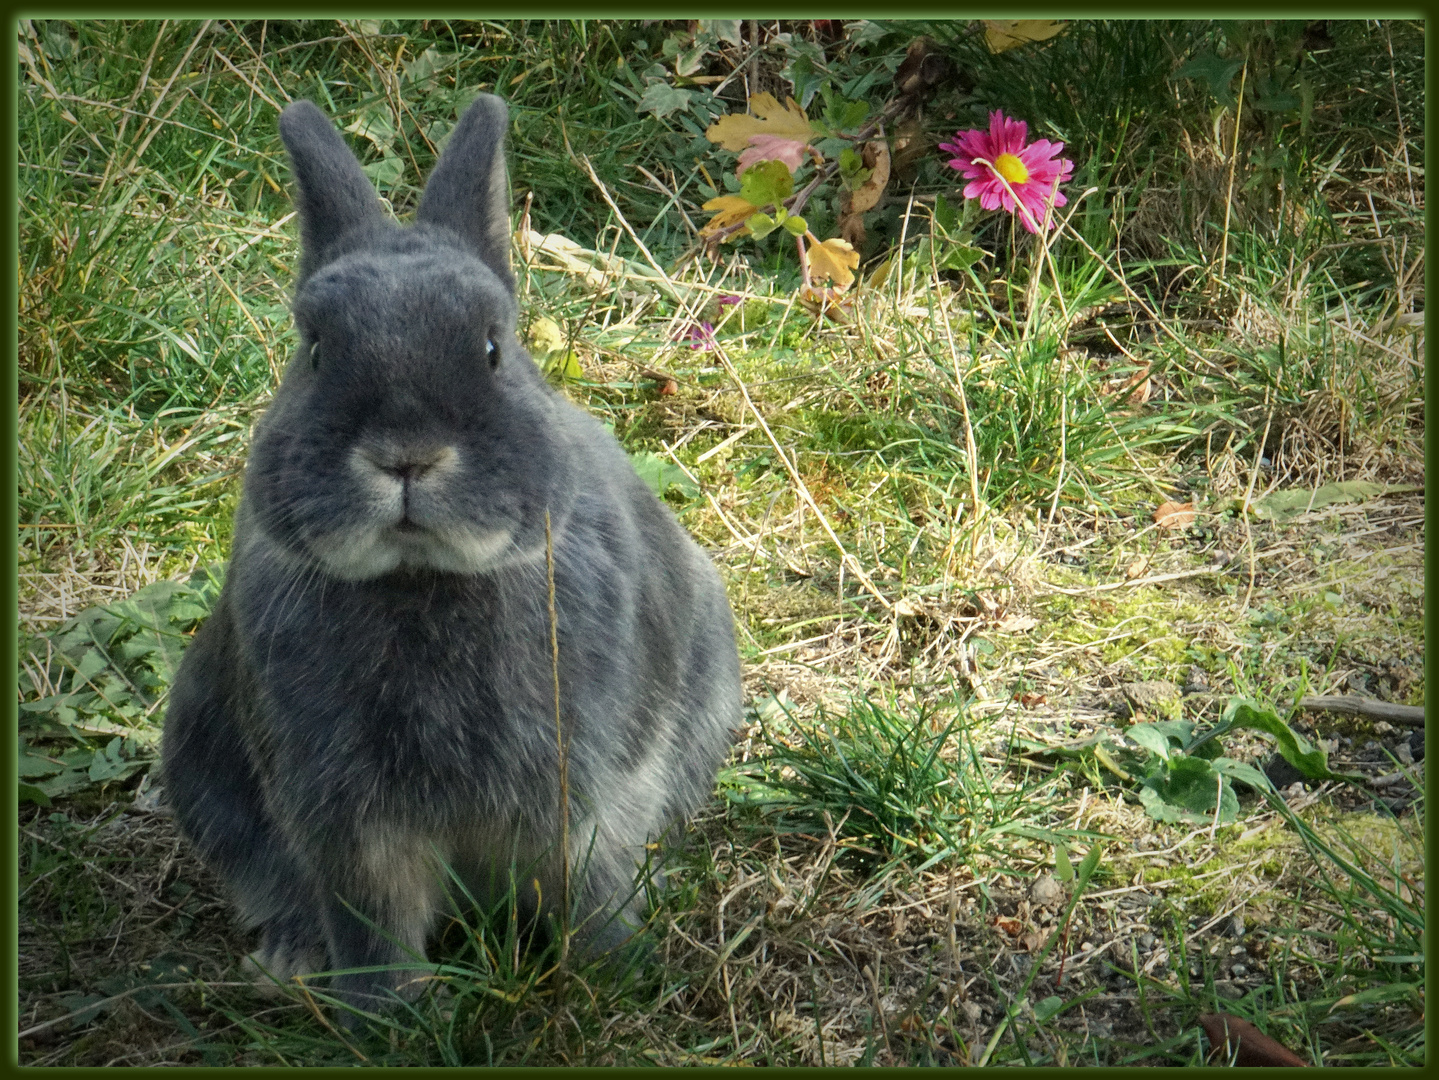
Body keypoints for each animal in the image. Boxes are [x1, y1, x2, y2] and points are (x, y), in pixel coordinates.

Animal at [160, 97, 742, 1023]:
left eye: (493, 348)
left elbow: (589, 892)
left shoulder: (585, 798)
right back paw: (289, 962)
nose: (405, 455)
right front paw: (387, 1017)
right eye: (315, 350)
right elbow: (373, 921)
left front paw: (612, 981)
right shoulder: (350, 825)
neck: (419, 580)